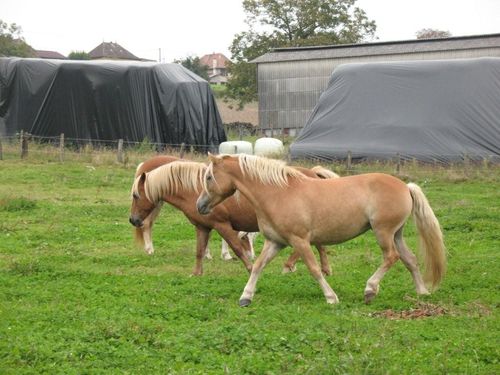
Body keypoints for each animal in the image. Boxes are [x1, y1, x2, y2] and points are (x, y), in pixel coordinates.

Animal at [130, 159, 340, 276]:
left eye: (136, 195)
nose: (133, 220)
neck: (195, 189)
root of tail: (313, 173)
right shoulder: (202, 227)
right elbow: (199, 251)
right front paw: (196, 273)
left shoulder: (222, 225)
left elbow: (237, 248)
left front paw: (250, 268)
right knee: (318, 244)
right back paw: (324, 269)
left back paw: (290, 266)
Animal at [197, 154, 448, 306]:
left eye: (208, 177)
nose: (200, 205)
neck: (278, 193)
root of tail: (405, 186)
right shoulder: (275, 242)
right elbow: (257, 266)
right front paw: (245, 297)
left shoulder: (299, 241)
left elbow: (314, 268)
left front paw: (331, 297)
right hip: (396, 234)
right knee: (410, 259)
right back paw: (422, 291)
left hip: (383, 232)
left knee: (391, 257)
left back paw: (370, 289)